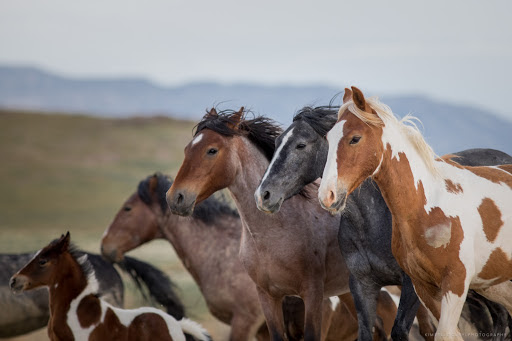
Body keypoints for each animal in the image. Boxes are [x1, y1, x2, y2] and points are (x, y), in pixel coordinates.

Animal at [165, 108, 360, 340]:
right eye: (188, 149)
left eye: (212, 150)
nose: (175, 197)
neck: (274, 235)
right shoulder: (267, 296)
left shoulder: (313, 295)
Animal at [256, 104, 512, 340]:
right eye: (277, 141)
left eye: (301, 145)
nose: (263, 194)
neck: (374, 221)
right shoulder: (362, 285)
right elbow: (366, 332)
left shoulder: (411, 285)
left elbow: (399, 331)